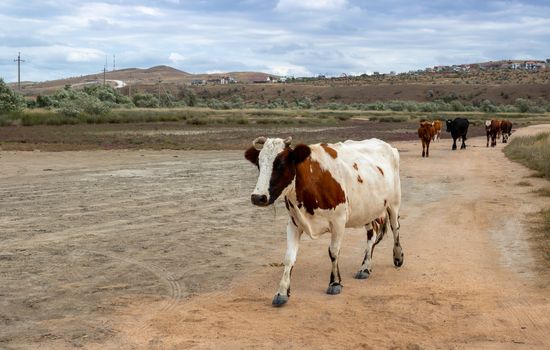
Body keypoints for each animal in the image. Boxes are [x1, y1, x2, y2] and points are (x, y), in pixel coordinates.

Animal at [246, 137, 406, 306]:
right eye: (259, 164)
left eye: (280, 164)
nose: (258, 197)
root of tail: (385, 144)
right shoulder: (294, 223)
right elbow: (289, 257)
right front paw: (282, 292)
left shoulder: (338, 221)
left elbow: (333, 252)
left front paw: (335, 283)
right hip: (367, 210)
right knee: (372, 235)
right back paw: (365, 267)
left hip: (394, 202)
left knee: (395, 228)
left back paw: (397, 257)